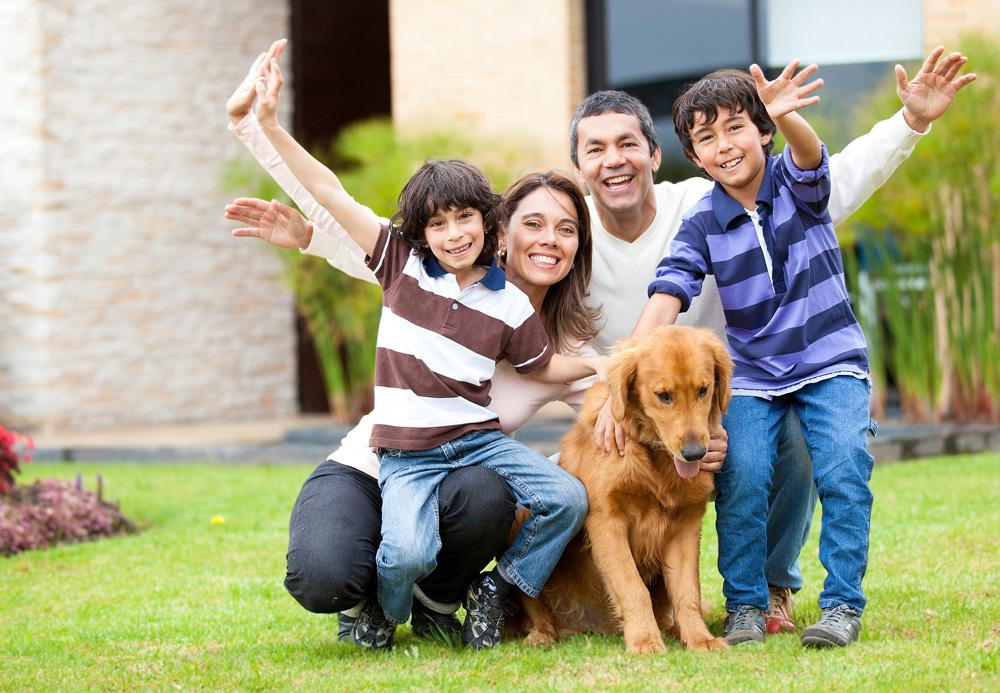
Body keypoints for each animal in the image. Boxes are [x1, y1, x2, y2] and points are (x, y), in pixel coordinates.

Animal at [512, 326, 732, 656]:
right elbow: (632, 586)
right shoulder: (607, 522)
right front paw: (644, 640)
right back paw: (542, 635)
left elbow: (687, 590)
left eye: (703, 390)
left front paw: (699, 638)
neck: (653, 454)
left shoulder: (686, 524)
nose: (695, 453)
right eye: (663, 396)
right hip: (523, 515)